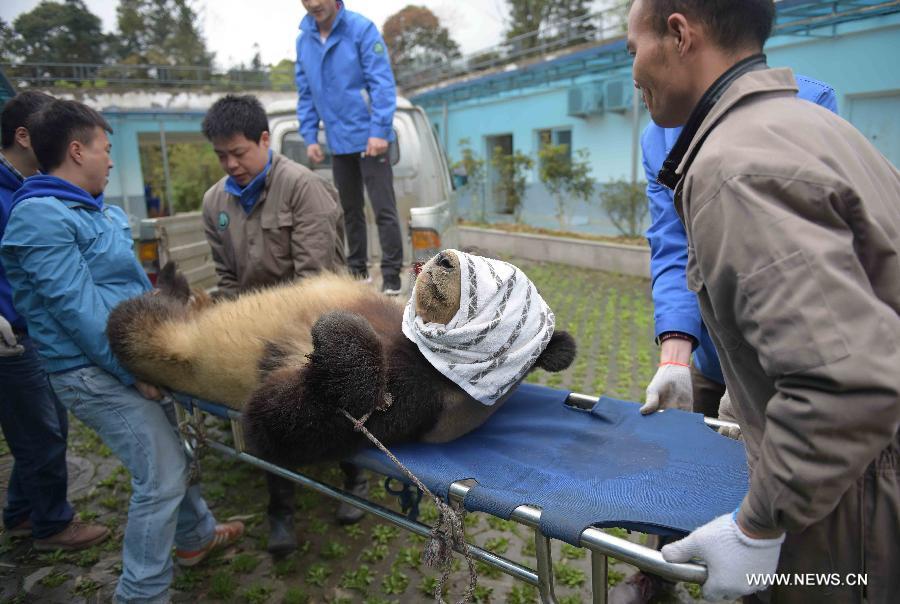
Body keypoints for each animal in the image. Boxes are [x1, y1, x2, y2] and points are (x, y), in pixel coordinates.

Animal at [107, 250, 576, 467]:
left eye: (489, 281)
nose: (444, 260)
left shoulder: (420, 402)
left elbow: (276, 424)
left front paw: (338, 336)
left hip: (174, 348)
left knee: (134, 324)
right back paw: (179, 283)